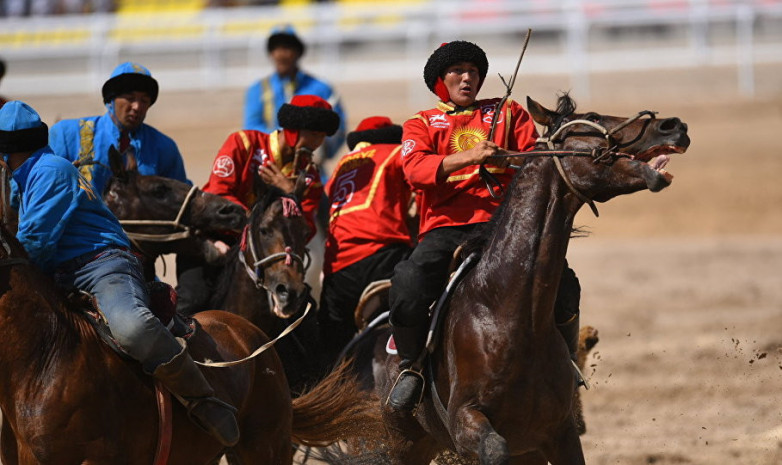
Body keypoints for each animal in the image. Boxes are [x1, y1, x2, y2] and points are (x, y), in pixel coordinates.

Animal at [374, 94, 692, 464]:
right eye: (594, 117)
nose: (673, 125)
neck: (508, 313)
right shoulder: (466, 424)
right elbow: (494, 448)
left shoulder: (559, 435)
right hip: (404, 443)